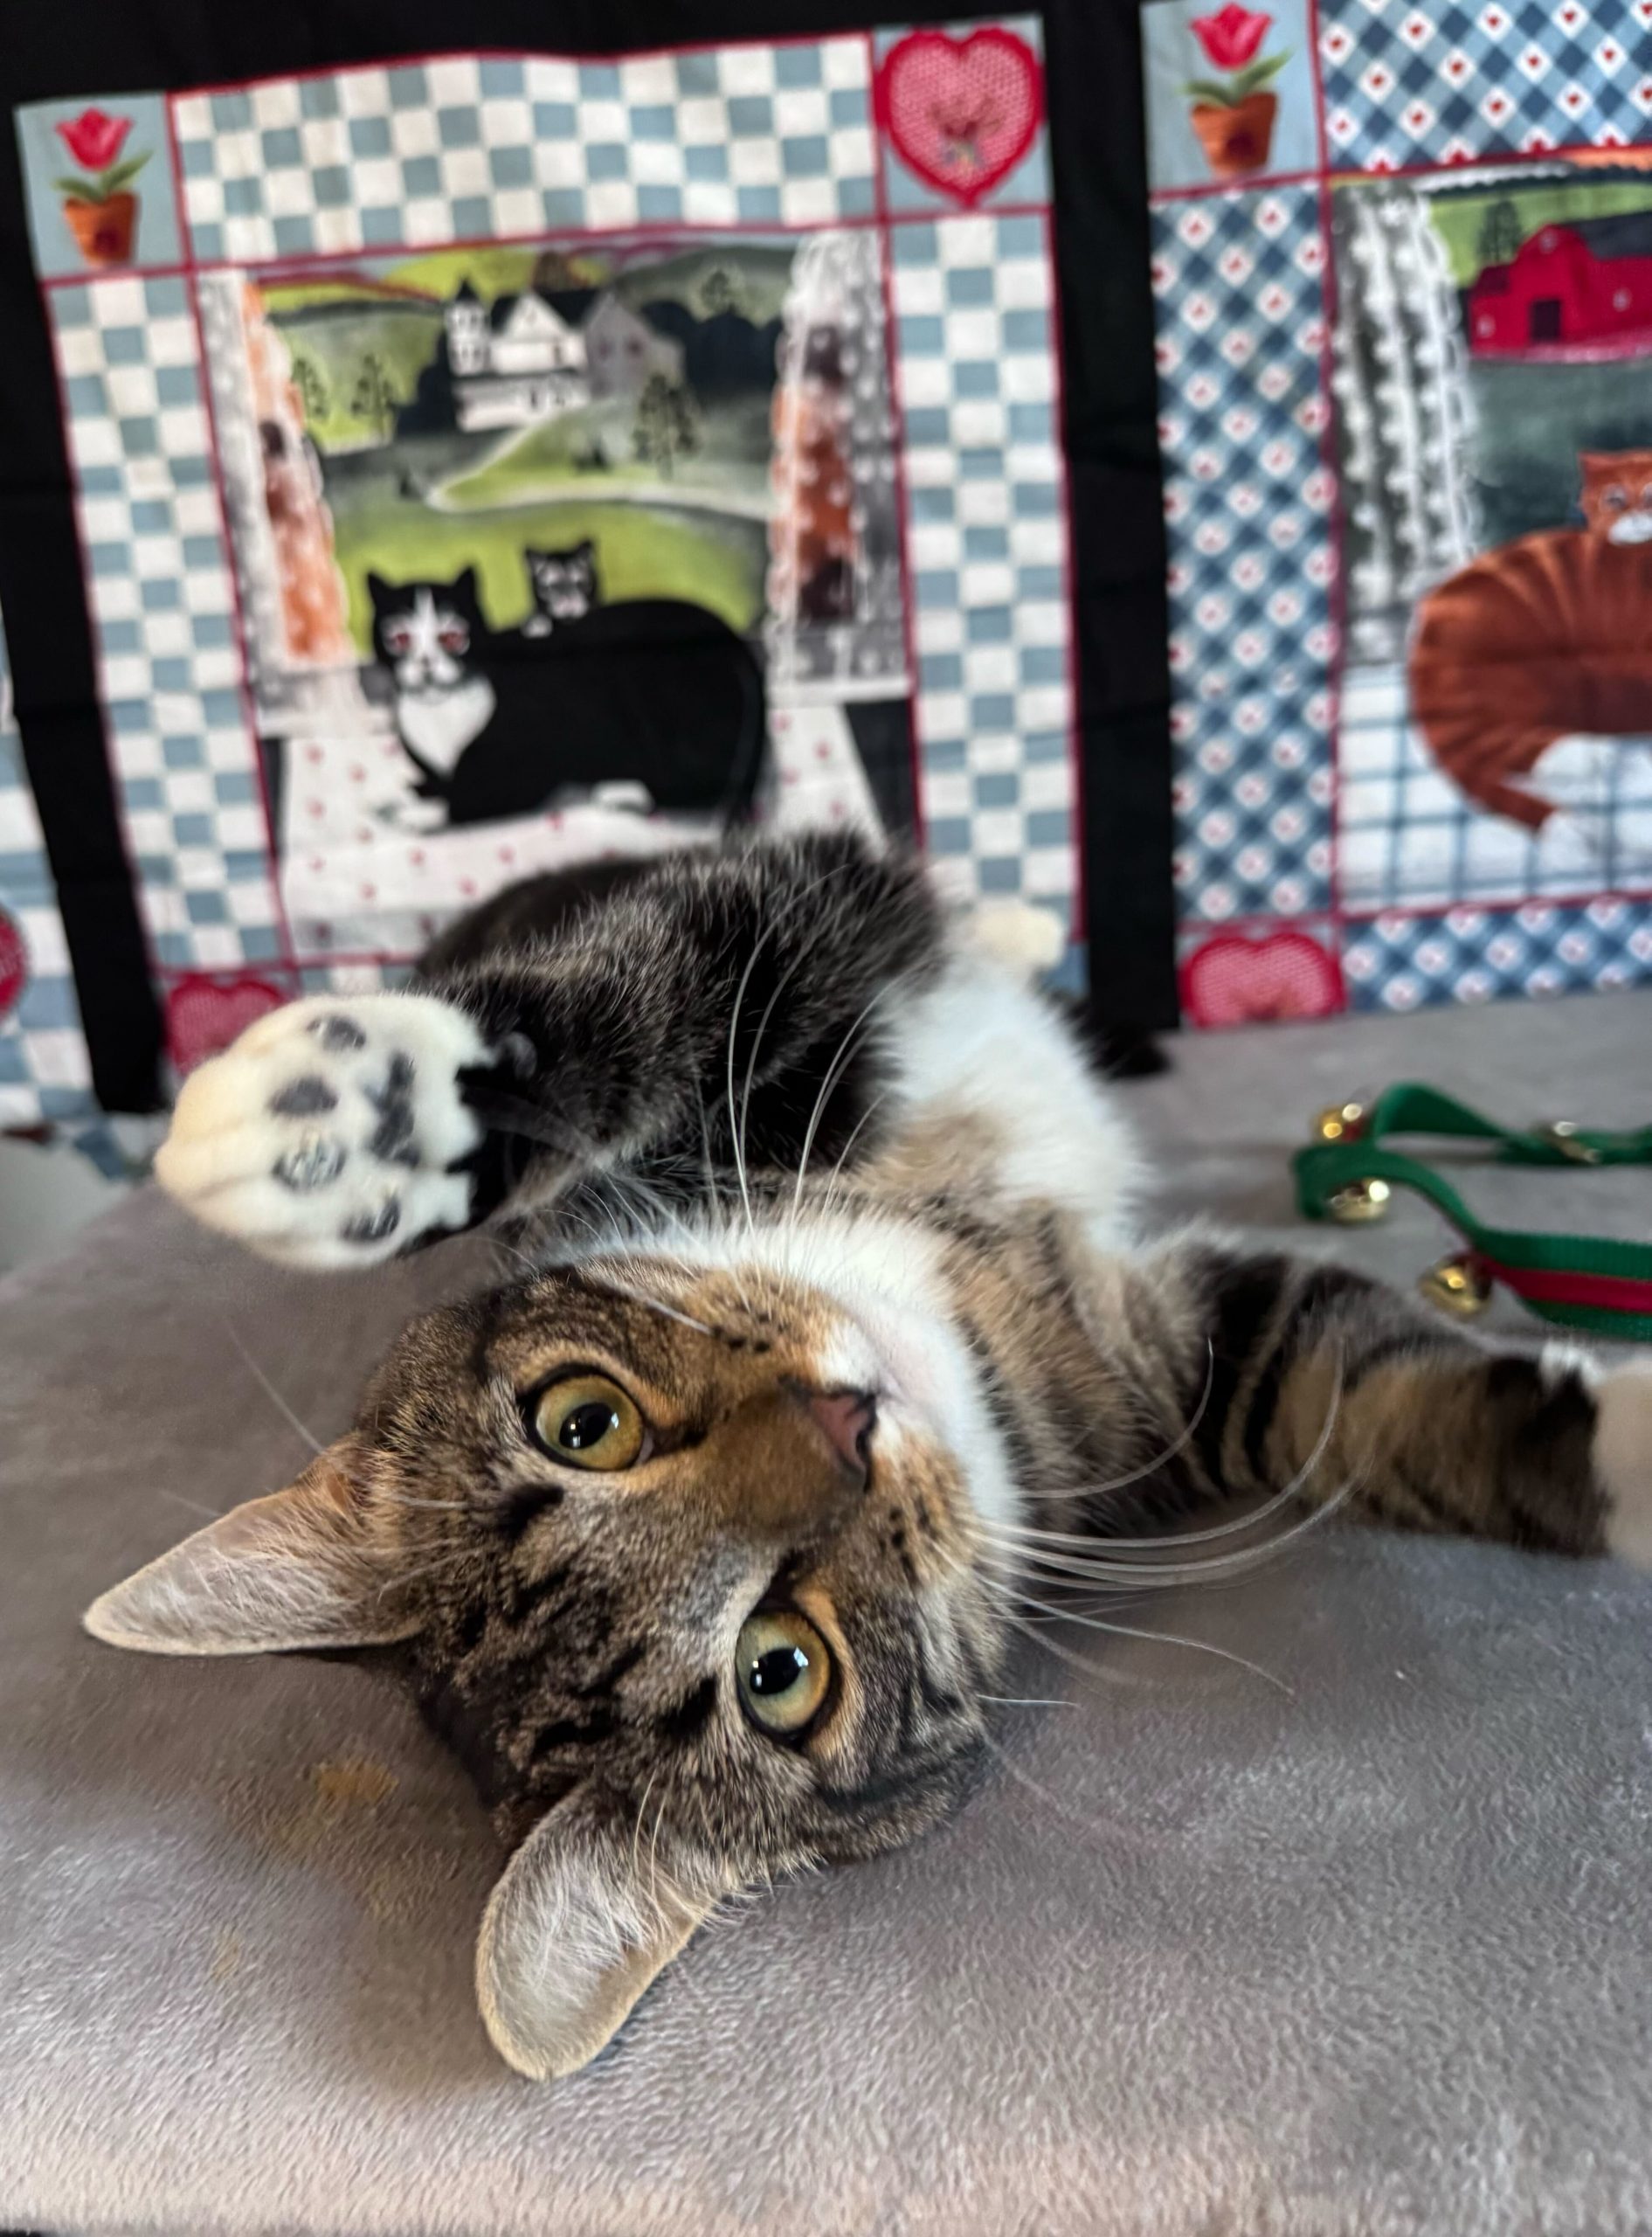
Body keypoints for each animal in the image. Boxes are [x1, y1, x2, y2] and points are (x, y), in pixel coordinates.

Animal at [91, 831, 1652, 2079]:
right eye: (781, 1671)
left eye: (582, 1421)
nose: (846, 1422)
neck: (926, 1258)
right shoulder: (1148, 1380)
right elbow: (1354, 1395)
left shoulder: (786, 956)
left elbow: (677, 972)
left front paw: (338, 1132)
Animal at [366, 568, 765, 830]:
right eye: (399, 638)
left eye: (453, 638)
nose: (426, 662)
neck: (437, 709)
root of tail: (737, 646)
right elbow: (437, 784)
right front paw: (412, 793)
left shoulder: (527, 764)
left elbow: (469, 800)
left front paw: (413, 812)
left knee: (700, 782)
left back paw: (618, 792)